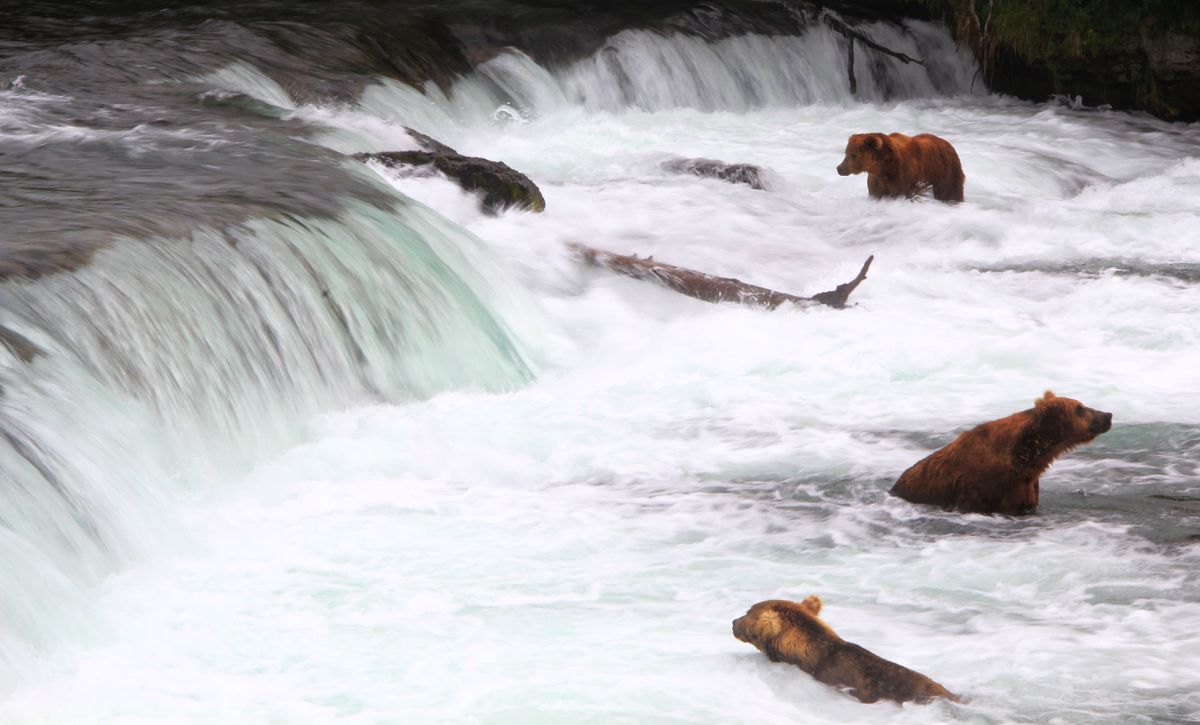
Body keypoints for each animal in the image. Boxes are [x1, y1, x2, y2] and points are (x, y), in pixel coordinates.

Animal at [835, 131, 964, 201]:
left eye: (854, 155)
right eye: (846, 152)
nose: (839, 168)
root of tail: (948, 143)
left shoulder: (904, 178)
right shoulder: (877, 182)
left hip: (945, 172)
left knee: (949, 191)